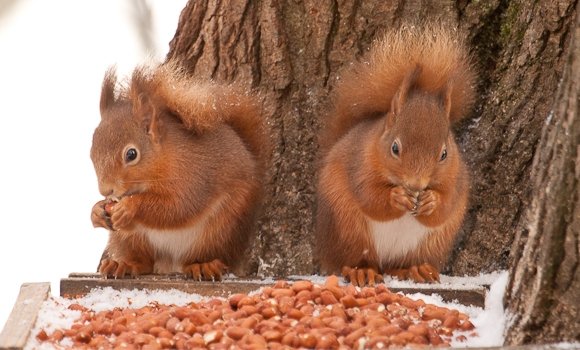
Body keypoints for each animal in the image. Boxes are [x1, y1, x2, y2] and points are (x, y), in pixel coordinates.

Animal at [90, 61, 270, 280]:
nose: (106, 191)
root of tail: (170, 264)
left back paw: (203, 265)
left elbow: (178, 208)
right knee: (143, 262)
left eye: (131, 154)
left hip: (222, 229)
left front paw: (130, 207)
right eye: (92, 152)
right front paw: (96, 211)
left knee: (200, 256)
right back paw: (124, 264)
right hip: (131, 239)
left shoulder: (194, 177)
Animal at [318, 25, 476, 288]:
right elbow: (370, 197)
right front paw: (397, 196)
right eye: (394, 148)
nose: (416, 184)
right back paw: (362, 271)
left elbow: (445, 206)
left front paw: (431, 201)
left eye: (444, 154)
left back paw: (414, 270)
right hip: (348, 230)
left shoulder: (456, 179)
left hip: (430, 245)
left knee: (398, 264)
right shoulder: (359, 164)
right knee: (352, 261)